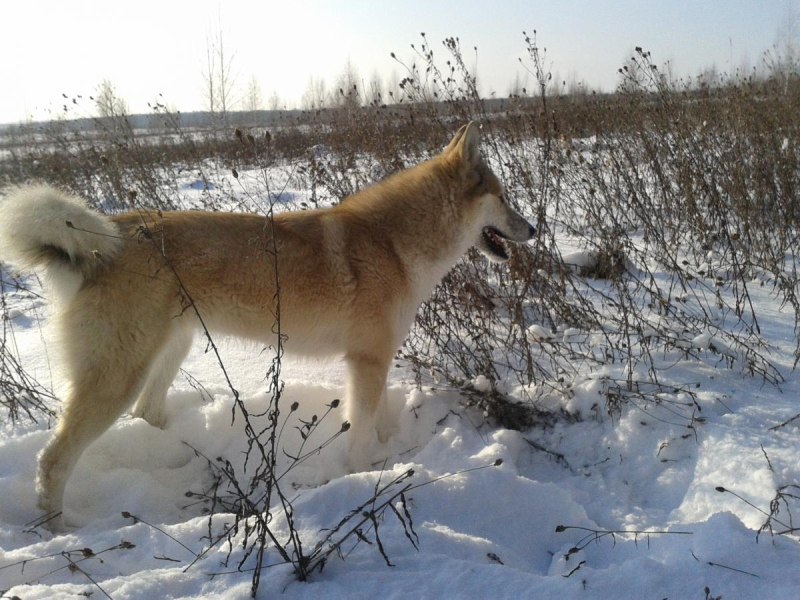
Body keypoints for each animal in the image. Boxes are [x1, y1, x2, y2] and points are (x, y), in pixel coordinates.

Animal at [0, 123, 536, 528]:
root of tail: (104, 239)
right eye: (503, 198)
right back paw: (61, 530)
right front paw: (362, 477)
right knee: (54, 460)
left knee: (147, 413)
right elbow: (361, 433)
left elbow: (379, 419)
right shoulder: (366, 361)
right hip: (118, 377)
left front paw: (391, 455)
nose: (533, 230)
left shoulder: (374, 361)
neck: (394, 243)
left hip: (169, 351)